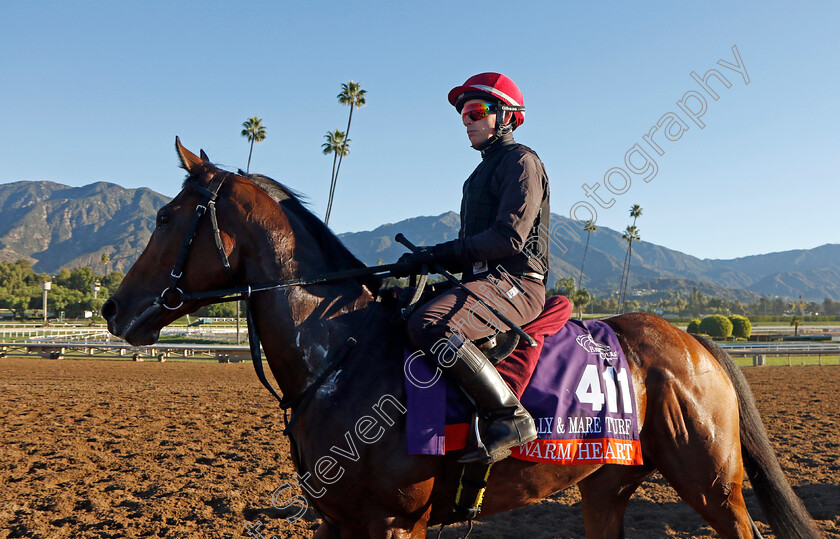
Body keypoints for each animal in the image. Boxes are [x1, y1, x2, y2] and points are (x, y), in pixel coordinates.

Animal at [100, 140, 820, 539]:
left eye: (165, 217)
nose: (113, 308)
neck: (342, 358)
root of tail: (696, 344)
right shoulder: (335, 519)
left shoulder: (396, 522)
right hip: (605, 486)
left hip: (715, 486)